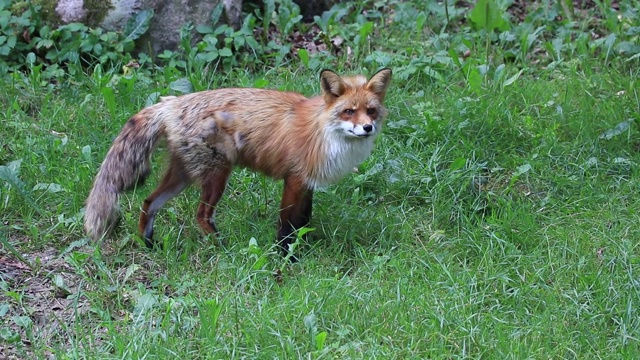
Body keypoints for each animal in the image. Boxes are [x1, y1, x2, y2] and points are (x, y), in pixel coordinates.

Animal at [82, 69, 392, 256]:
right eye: (349, 111)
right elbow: (287, 225)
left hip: (183, 175)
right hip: (217, 175)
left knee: (148, 202)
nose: (367, 128)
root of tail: (170, 103)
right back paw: (223, 247)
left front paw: (302, 246)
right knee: (200, 216)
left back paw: (150, 244)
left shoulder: (307, 183)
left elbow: (304, 220)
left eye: (371, 111)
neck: (324, 133)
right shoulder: (294, 179)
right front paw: (284, 257)